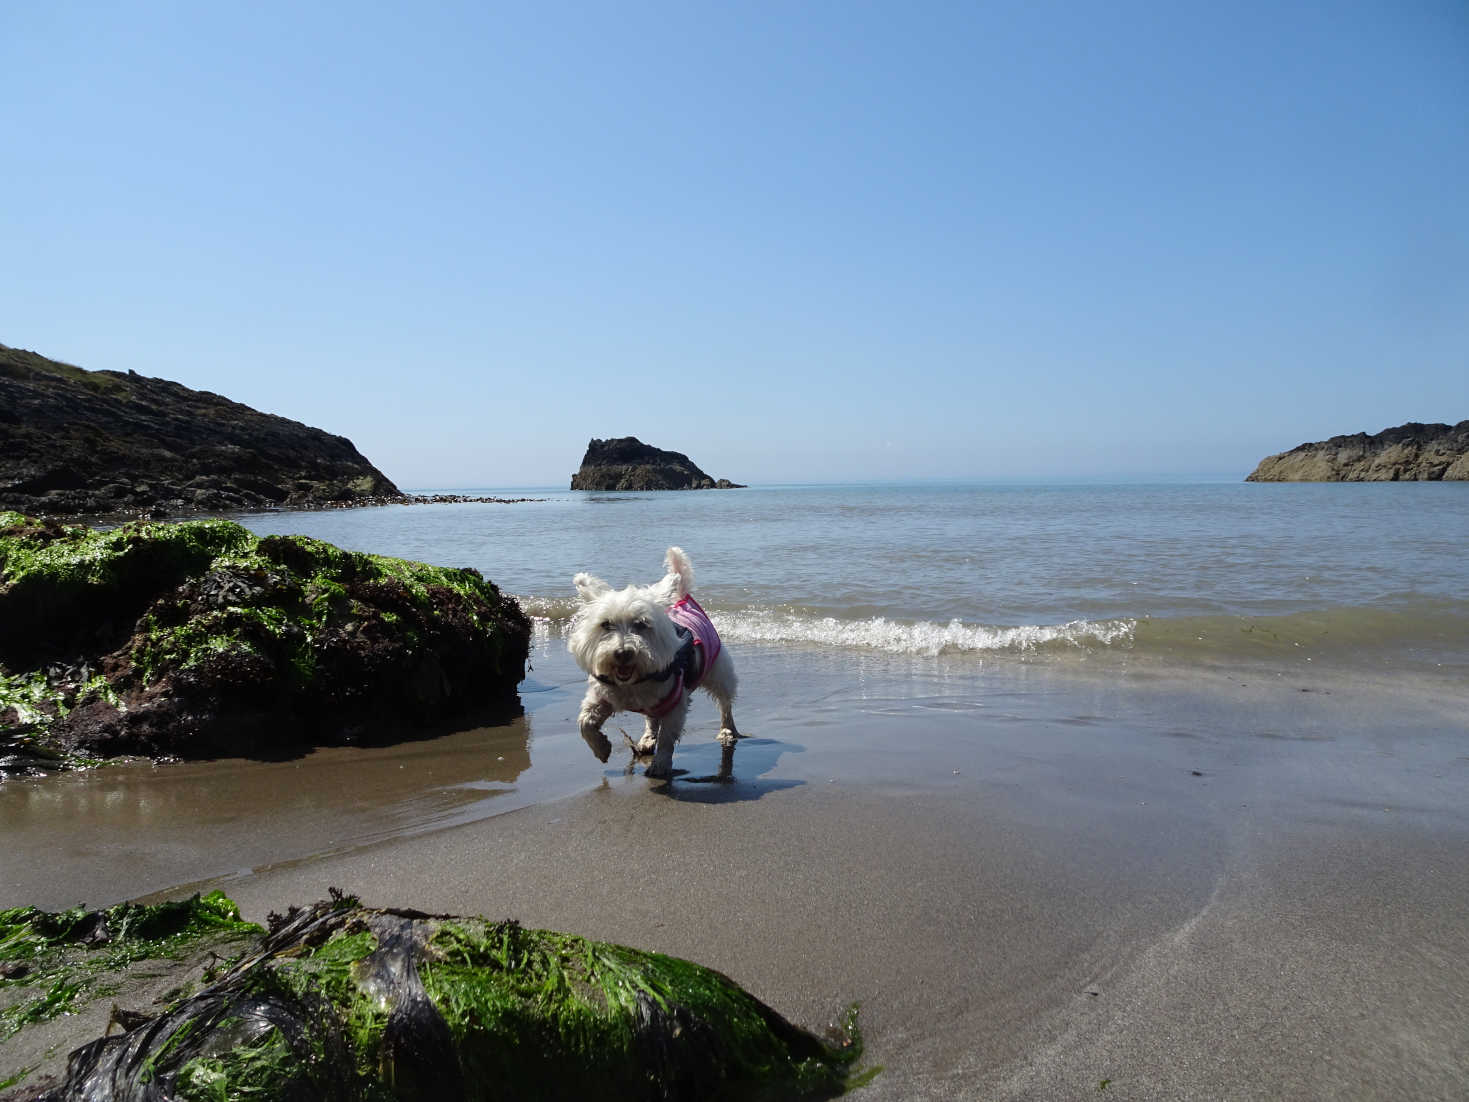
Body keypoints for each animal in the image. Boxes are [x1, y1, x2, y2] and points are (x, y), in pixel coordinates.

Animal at [567, 549, 740, 775]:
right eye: (606, 624)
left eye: (641, 624)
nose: (622, 653)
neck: (633, 683)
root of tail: (683, 599)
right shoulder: (602, 695)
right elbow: (585, 722)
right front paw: (602, 749)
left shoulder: (675, 702)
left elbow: (667, 738)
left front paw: (660, 765)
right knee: (651, 719)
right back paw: (647, 740)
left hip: (718, 671)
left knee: (725, 702)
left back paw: (727, 730)